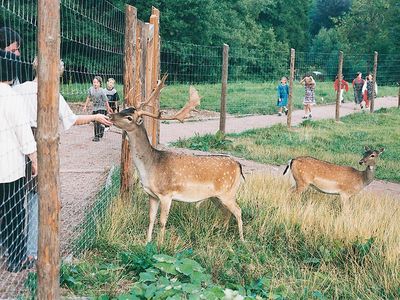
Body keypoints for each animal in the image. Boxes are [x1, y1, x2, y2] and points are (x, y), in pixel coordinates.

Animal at [111, 75, 245, 244]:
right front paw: (147, 242)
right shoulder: (151, 194)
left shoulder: (166, 194)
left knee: (238, 211)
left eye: (129, 117)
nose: (110, 115)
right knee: (226, 211)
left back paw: (242, 240)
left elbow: (162, 222)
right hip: (216, 196)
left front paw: (160, 244)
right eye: (123, 109)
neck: (150, 167)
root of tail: (239, 165)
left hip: (228, 192)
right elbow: (151, 219)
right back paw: (221, 232)